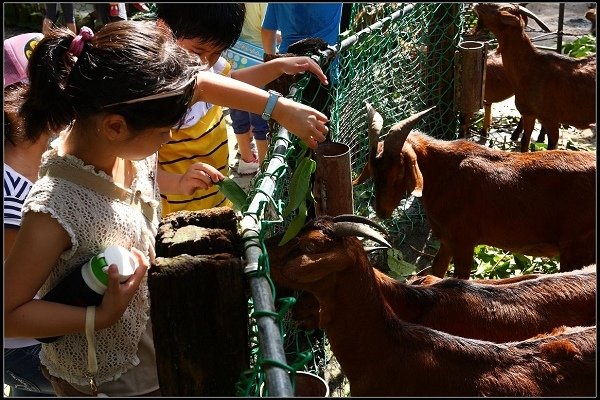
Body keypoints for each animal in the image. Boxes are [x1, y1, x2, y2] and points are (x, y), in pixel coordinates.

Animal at [356, 103, 596, 278]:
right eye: (374, 172)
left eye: (398, 172)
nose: (381, 210)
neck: (445, 173)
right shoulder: (447, 239)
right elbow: (436, 271)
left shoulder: (464, 240)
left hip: (577, 249)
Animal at [474, 2, 596, 152]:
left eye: (497, 8)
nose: (477, 4)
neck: (532, 66)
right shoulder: (528, 114)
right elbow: (524, 142)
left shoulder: (551, 119)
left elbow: (551, 147)